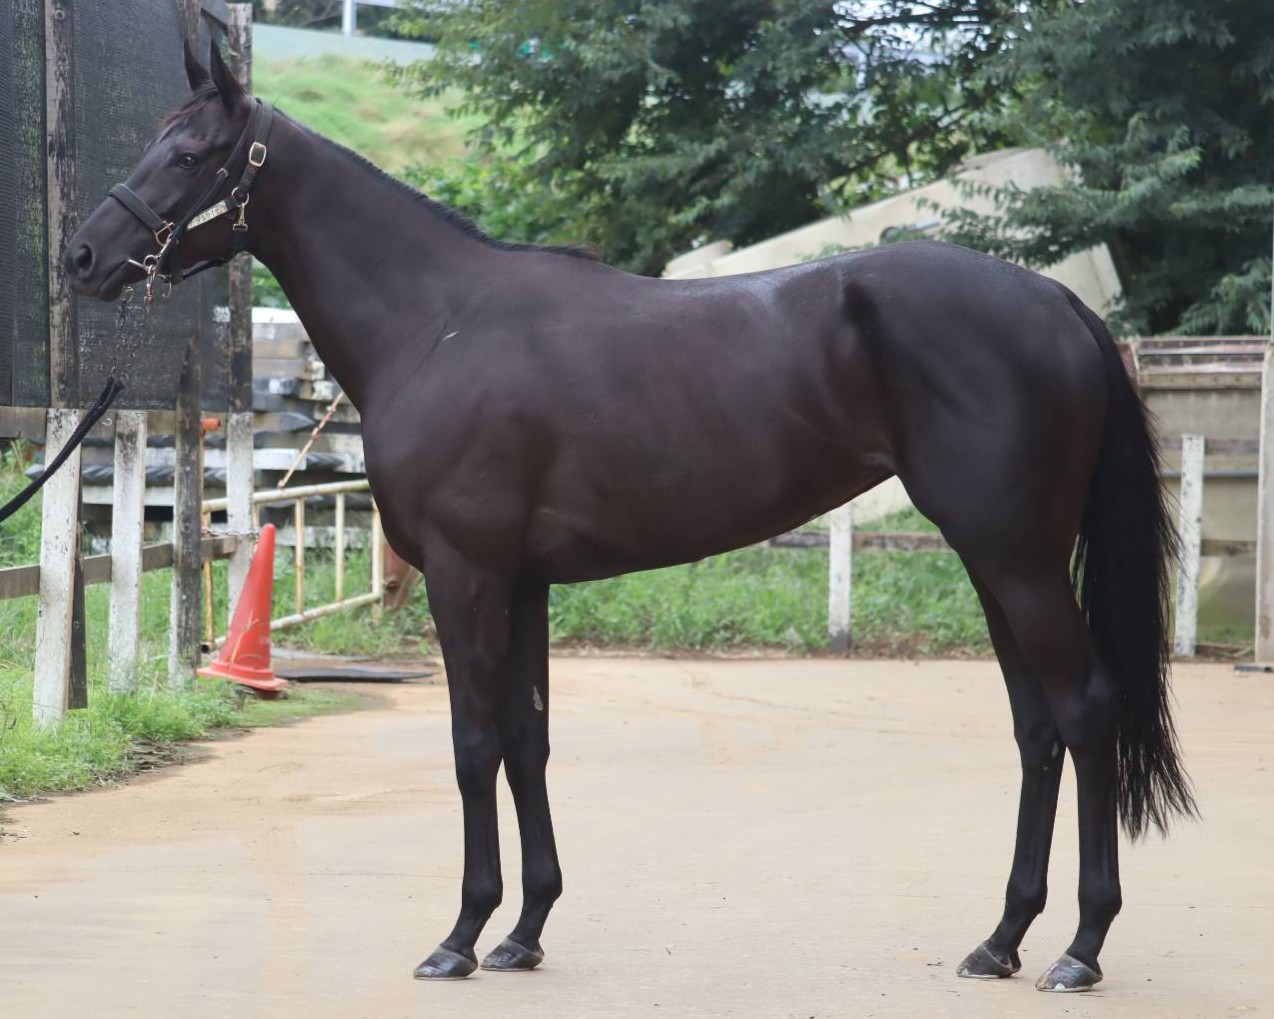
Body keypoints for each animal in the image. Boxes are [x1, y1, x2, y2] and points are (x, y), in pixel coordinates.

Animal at [66, 43, 1196, 993]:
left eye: (189, 153)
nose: (82, 255)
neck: (437, 322)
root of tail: (1059, 304)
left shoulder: (466, 573)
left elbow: (473, 741)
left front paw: (459, 937)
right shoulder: (521, 580)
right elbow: (527, 739)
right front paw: (523, 932)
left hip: (1016, 558)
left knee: (1084, 713)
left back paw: (1079, 947)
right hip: (996, 557)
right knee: (1037, 729)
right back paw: (1000, 940)